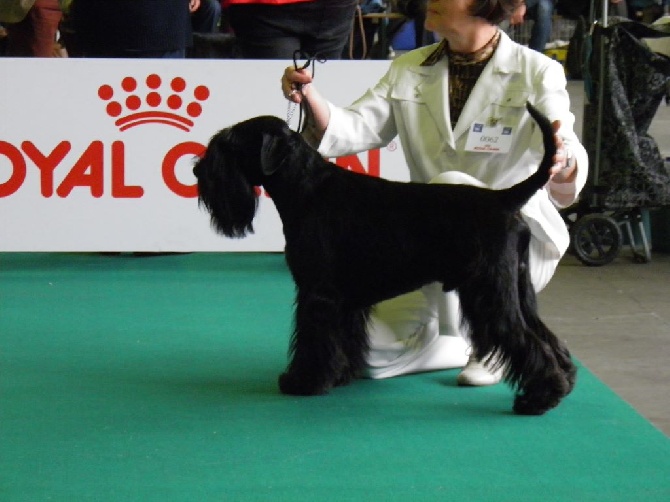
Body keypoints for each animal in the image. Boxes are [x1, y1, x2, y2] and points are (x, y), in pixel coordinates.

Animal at [193, 103, 576, 416]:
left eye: (229, 144)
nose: (198, 172)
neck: (307, 189)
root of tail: (504, 199)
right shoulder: (344, 302)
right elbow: (343, 340)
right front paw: (340, 375)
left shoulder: (318, 294)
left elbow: (314, 340)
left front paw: (303, 382)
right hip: (519, 289)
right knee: (544, 335)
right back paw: (565, 382)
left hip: (491, 293)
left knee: (522, 338)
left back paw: (538, 399)